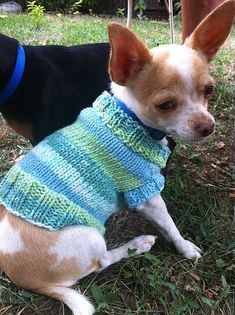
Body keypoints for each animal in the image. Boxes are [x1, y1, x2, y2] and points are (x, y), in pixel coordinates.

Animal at [0, 1, 234, 314]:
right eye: (166, 105)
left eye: (209, 90)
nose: (207, 126)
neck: (129, 119)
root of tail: (25, 280)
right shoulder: (145, 194)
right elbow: (170, 223)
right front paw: (185, 246)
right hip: (89, 235)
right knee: (101, 263)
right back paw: (138, 244)